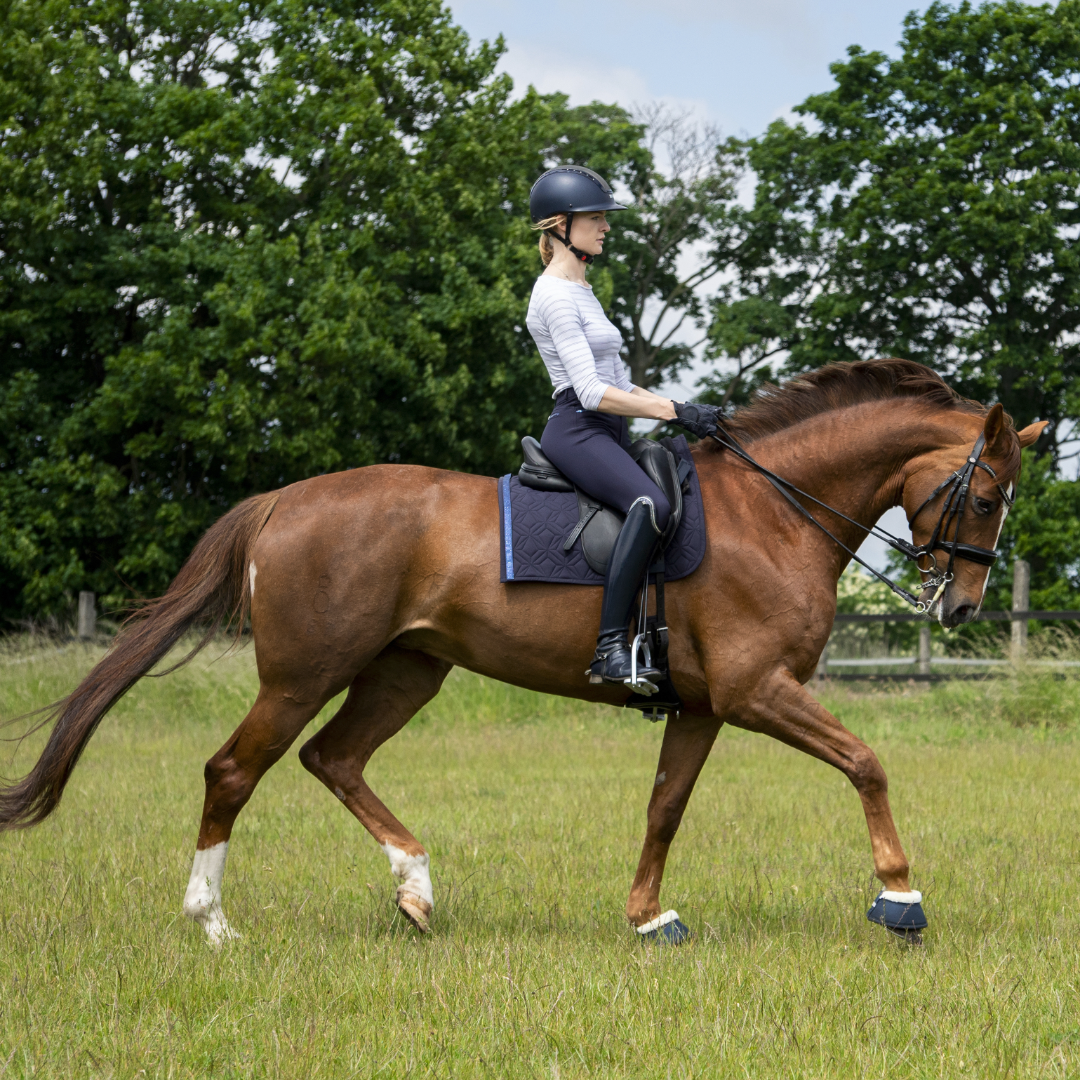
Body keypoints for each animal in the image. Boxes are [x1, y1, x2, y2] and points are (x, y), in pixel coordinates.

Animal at [0, 359, 1046, 944]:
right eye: (988, 495)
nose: (959, 607)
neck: (776, 508)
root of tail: (282, 501)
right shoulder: (759, 690)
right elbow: (867, 762)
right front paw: (901, 898)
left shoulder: (708, 705)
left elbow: (665, 808)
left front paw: (648, 917)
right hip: (304, 673)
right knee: (234, 770)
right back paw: (214, 924)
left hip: (407, 669)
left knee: (333, 759)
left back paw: (416, 891)